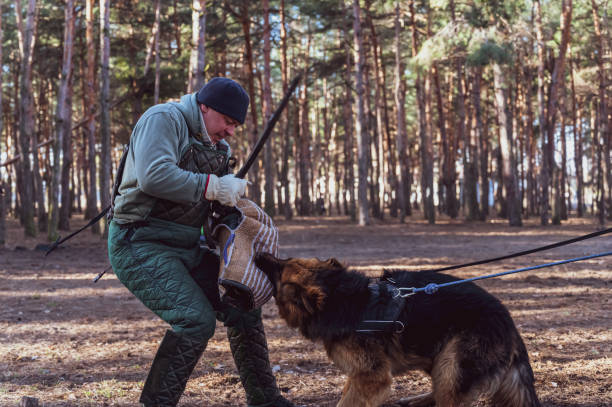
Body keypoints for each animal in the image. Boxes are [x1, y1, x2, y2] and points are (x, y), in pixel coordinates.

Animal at [255, 255, 540, 407]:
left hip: (453, 363)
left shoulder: (372, 376)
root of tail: (511, 328)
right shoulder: (360, 374)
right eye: (283, 261)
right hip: (439, 357)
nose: (260, 255)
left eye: (279, 268)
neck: (341, 298)